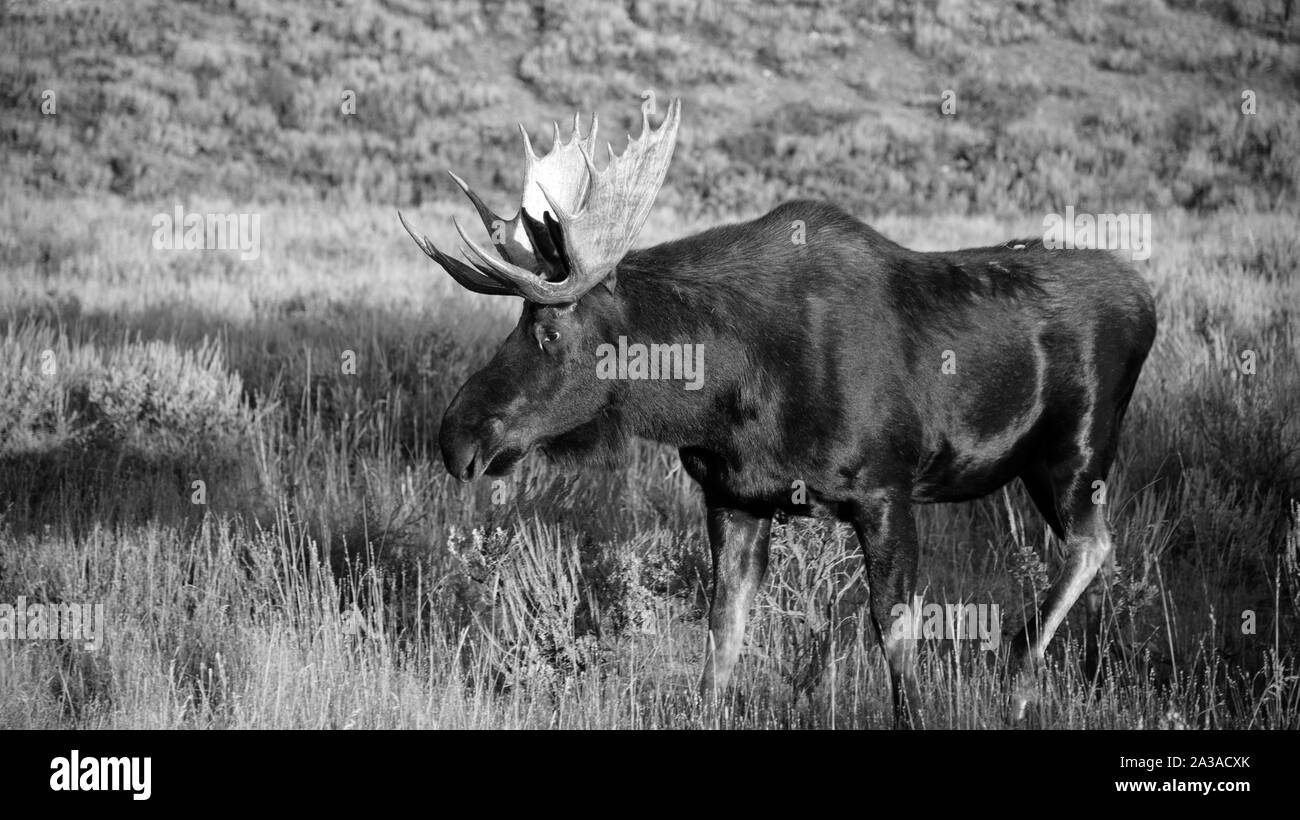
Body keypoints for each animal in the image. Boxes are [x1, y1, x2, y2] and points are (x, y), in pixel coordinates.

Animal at [403, 92, 1159, 727]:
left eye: (549, 330)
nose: (456, 436)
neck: (722, 397)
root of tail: (1147, 296)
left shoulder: (885, 491)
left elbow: (896, 638)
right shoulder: (732, 497)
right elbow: (722, 636)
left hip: (1077, 449)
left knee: (1093, 544)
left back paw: (1020, 667)